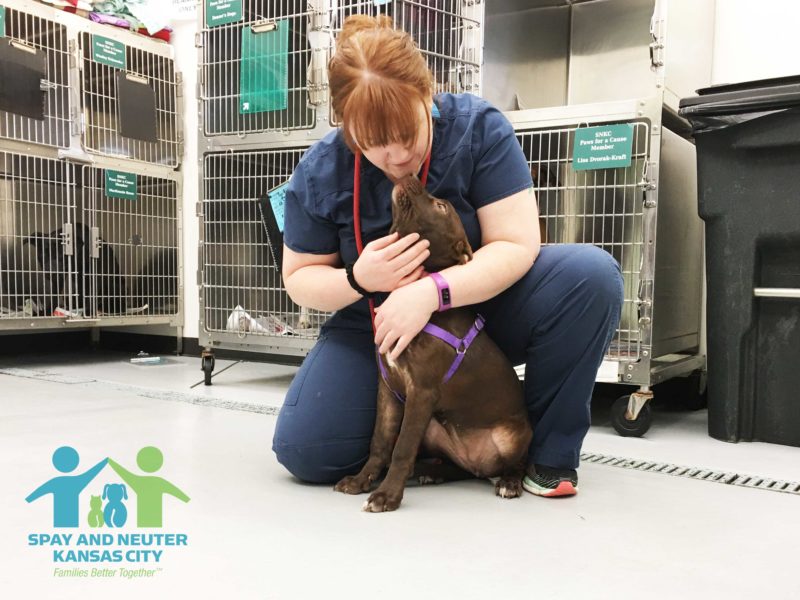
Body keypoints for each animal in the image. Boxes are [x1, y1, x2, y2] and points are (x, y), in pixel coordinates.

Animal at [334, 173, 536, 510]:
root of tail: (478, 461)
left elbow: (401, 447)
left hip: (514, 435)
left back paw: (509, 482)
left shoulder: (421, 392)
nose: (409, 176)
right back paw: (432, 471)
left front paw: (386, 496)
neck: (407, 291)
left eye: (441, 206)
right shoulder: (388, 389)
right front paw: (361, 480)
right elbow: (380, 441)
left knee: (517, 463)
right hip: (433, 429)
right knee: (460, 467)